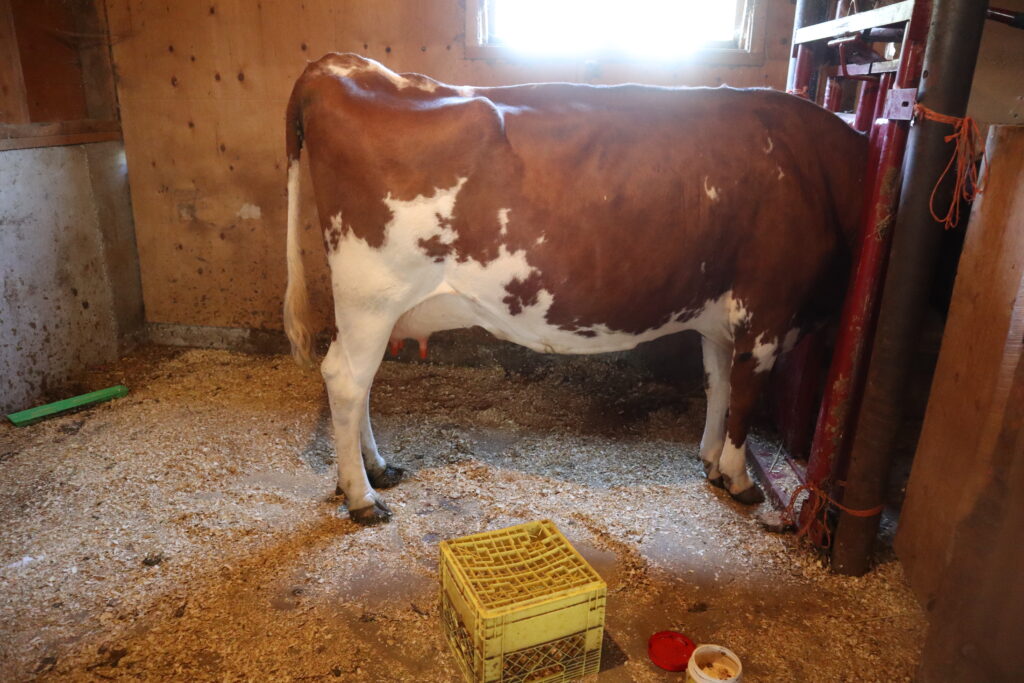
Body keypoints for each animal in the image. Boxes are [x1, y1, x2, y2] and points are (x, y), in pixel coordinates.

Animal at [283, 53, 867, 525]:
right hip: (372, 294)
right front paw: (740, 479)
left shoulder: (722, 318)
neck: (817, 170)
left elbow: (718, 388)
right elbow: (745, 399)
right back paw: (362, 497)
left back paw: (377, 469)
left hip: (372, 308)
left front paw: (709, 460)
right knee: (346, 379)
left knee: (357, 382)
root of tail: (341, 66)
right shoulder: (769, 310)